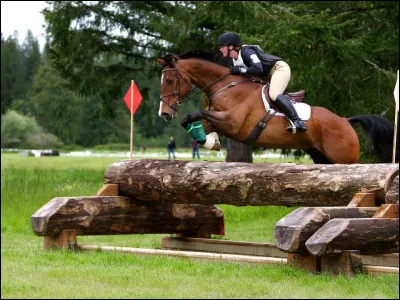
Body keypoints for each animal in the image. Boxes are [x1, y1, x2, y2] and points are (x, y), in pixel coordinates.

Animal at [157, 50, 396, 163]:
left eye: (169, 80)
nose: (164, 113)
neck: (225, 86)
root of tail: (345, 121)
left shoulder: (233, 123)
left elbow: (197, 114)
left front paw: (210, 141)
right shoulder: (217, 119)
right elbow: (194, 122)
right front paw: (210, 142)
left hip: (344, 158)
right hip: (321, 156)